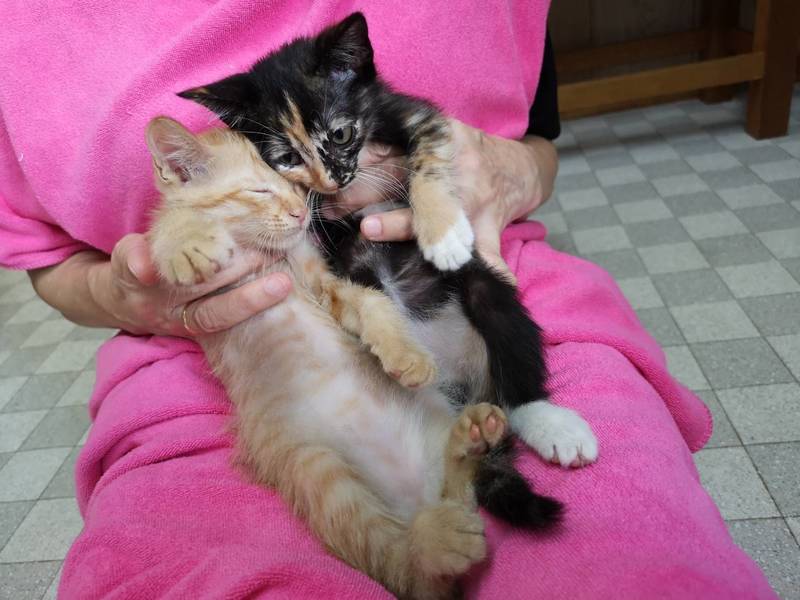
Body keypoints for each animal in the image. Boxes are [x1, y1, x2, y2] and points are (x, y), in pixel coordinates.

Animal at [145, 117, 560, 600]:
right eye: (260, 190)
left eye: (294, 184)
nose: (301, 213)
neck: (268, 258)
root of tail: (417, 493)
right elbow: (167, 228)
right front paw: (185, 242)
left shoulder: (322, 280)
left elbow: (369, 303)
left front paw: (406, 355)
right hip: (319, 472)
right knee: (402, 565)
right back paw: (435, 538)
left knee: (449, 525)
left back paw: (467, 448)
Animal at [177, 12, 599, 469]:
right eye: (287, 158)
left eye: (340, 135)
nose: (331, 181)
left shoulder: (412, 113)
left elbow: (428, 157)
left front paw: (443, 233)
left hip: (489, 293)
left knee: (511, 354)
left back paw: (553, 424)